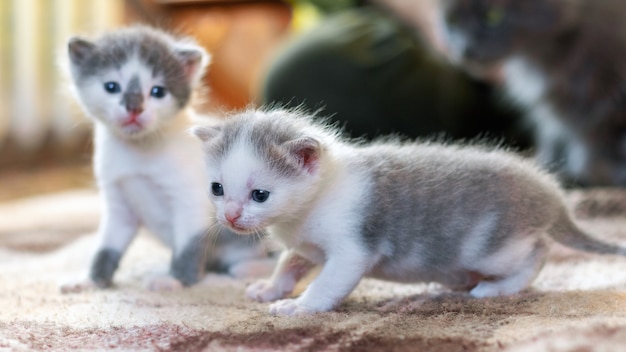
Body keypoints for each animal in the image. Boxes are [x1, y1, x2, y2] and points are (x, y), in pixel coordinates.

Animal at [61, 26, 268, 292]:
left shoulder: (191, 201)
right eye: (111, 86)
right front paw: (91, 280)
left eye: (158, 91)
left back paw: (244, 272)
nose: (134, 109)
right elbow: (106, 247)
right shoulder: (119, 206)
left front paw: (177, 280)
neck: (139, 152)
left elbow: (189, 246)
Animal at [191, 108, 624, 314]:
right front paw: (271, 288)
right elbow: (288, 264)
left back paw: (495, 288)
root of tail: (550, 195)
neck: (316, 200)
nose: (230, 216)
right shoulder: (305, 244)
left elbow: (328, 283)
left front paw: (300, 305)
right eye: (217, 189)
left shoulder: (353, 249)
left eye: (260, 195)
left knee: (539, 252)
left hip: (494, 248)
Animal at [434, 0, 624, 187]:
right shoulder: (552, 115)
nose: (464, 50)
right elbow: (553, 140)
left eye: (492, 16)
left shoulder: (607, 111)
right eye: (452, 20)